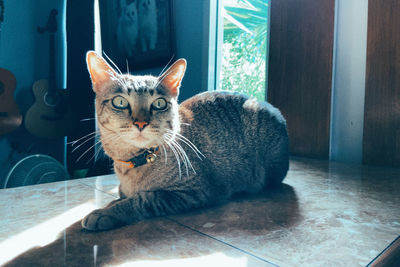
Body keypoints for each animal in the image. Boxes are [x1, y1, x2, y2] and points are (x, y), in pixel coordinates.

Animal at [82, 51, 288, 231]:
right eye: (120, 102)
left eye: (159, 104)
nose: (141, 123)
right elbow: (120, 195)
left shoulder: (194, 191)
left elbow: (142, 199)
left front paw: (105, 213)